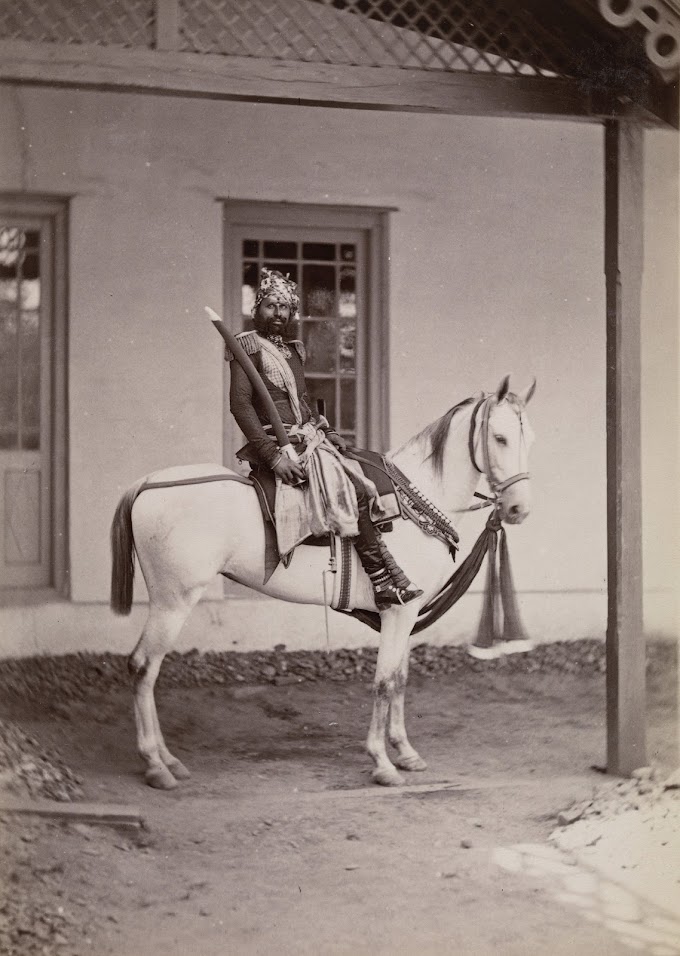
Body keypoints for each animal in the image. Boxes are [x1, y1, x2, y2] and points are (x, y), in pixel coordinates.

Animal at [110, 378, 536, 788]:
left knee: (146, 669)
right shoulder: (398, 611)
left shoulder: (409, 614)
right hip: (173, 602)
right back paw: (155, 764)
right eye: (499, 438)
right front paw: (381, 762)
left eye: (527, 439)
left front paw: (405, 752)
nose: (518, 508)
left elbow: (399, 679)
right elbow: (384, 681)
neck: (413, 501)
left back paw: (167, 760)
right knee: (143, 668)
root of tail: (148, 482)